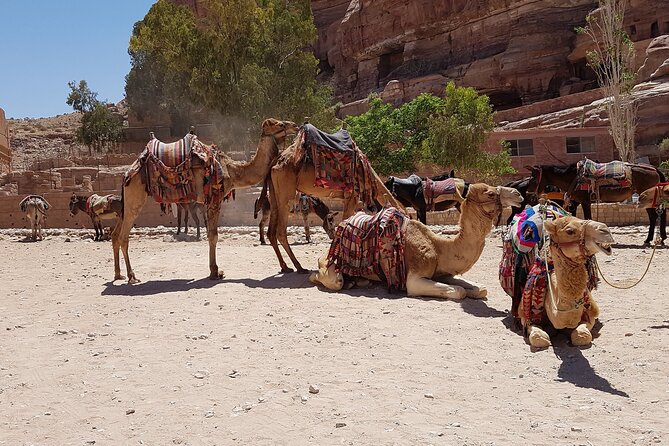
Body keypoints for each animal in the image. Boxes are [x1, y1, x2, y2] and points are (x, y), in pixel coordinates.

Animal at [113, 118, 298, 284]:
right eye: (280, 124)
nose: (295, 126)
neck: (232, 170)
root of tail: (127, 173)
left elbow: (211, 233)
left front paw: (215, 270)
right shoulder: (215, 199)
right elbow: (213, 235)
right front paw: (215, 272)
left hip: (128, 201)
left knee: (115, 234)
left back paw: (118, 275)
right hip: (135, 195)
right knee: (123, 236)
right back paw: (131, 276)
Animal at [268, 123, 404, 274]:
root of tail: (275, 163)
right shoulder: (353, 196)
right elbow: (345, 223)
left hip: (274, 195)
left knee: (271, 232)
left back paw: (285, 267)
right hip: (286, 194)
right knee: (280, 231)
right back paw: (299, 267)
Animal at [308, 183, 520, 298]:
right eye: (490, 193)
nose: (517, 194)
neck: (439, 246)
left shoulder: (442, 273)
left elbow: (480, 289)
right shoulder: (414, 279)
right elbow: (459, 291)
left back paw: (358, 281)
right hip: (331, 266)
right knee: (331, 278)